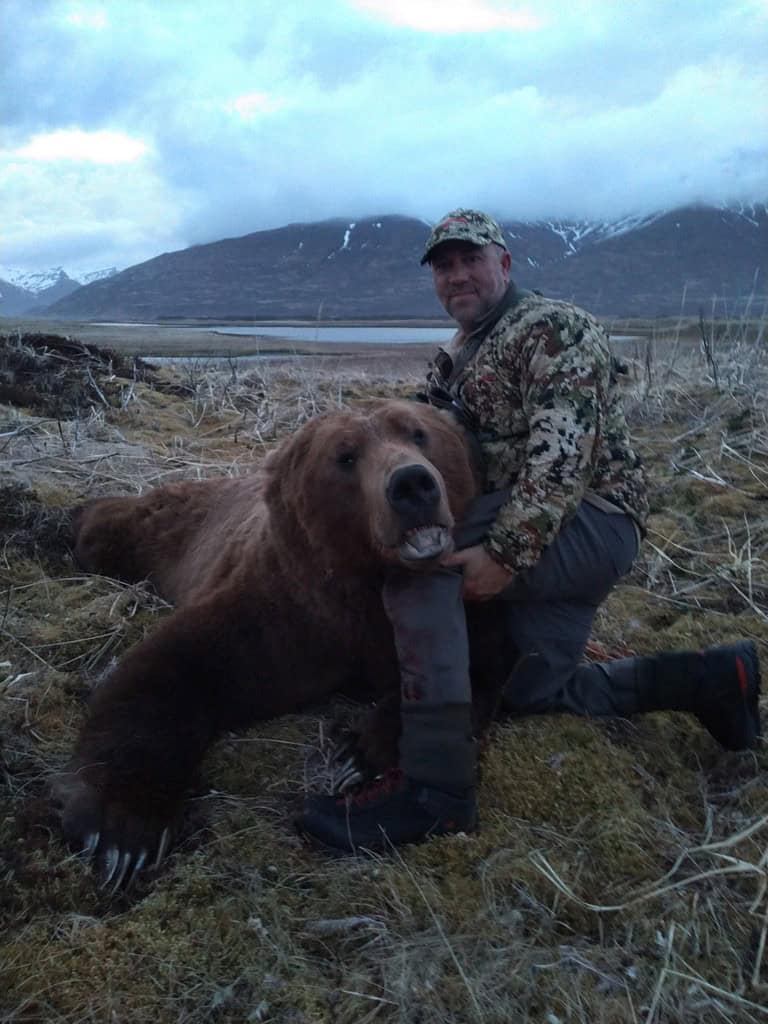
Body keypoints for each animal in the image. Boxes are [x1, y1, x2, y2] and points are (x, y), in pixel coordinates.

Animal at [53, 398, 509, 887]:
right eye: (345, 456)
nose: (412, 484)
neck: (362, 588)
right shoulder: (283, 613)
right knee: (112, 527)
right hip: (165, 530)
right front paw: (122, 832)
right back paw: (74, 520)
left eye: (419, 433)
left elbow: (479, 668)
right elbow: (171, 666)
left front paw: (359, 755)